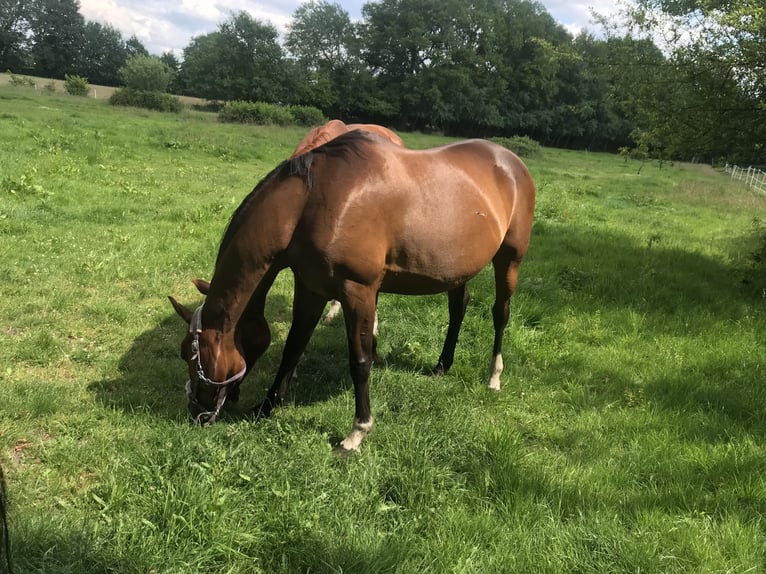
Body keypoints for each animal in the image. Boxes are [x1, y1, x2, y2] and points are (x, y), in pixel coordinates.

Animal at [171, 130, 536, 454]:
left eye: (191, 355)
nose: (197, 413)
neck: (311, 203)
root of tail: (512, 161)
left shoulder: (358, 291)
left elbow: (359, 361)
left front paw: (357, 433)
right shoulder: (311, 287)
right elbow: (293, 346)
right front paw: (268, 405)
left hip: (510, 260)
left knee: (500, 313)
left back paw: (493, 377)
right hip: (456, 269)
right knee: (458, 307)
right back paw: (442, 365)